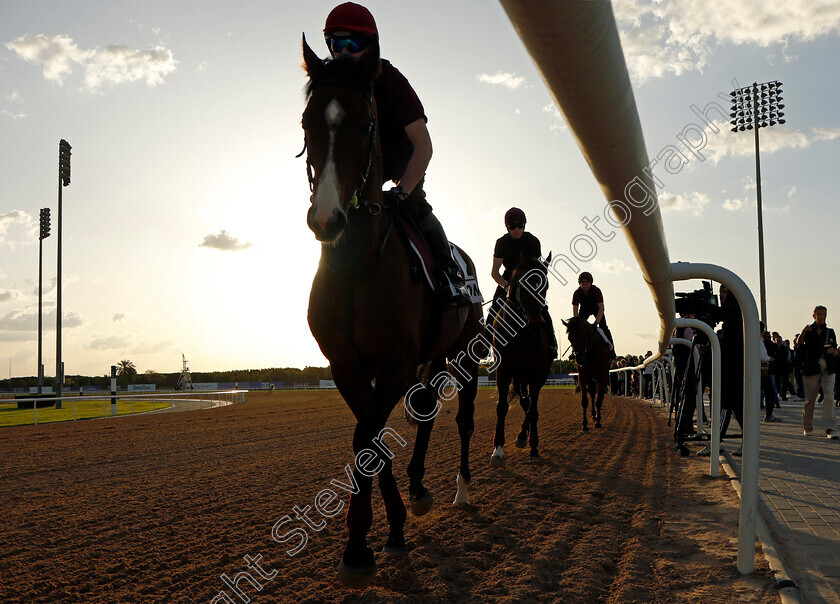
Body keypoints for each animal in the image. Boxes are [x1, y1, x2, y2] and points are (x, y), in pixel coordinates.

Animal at [304, 35, 486, 588]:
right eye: (307, 122)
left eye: (367, 123)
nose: (326, 218)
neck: (358, 265)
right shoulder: (347, 365)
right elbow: (372, 437)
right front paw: (389, 529)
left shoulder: (397, 362)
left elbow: (368, 436)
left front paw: (359, 543)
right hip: (432, 357)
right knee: (426, 409)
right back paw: (419, 487)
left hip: (465, 355)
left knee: (462, 418)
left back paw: (460, 489)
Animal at [488, 250, 556, 462]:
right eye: (526, 284)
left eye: (545, 286)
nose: (535, 324)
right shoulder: (504, 371)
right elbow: (502, 407)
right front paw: (498, 449)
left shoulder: (537, 373)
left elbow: (533, 411)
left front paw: (534, 446)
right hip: (518, 376)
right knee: (524, 401)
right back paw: (521, 436)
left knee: (530, 405)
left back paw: (524, 437)